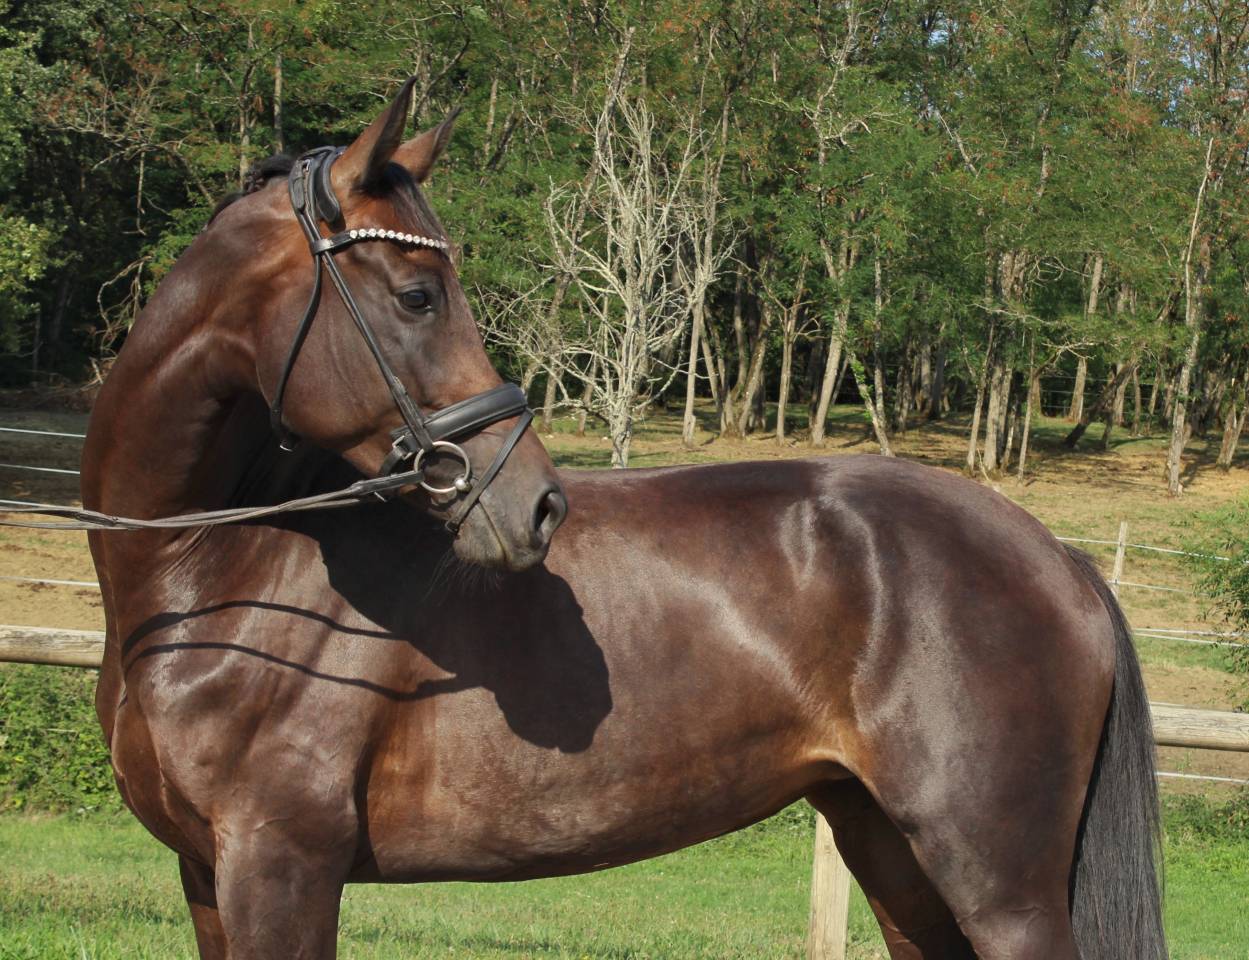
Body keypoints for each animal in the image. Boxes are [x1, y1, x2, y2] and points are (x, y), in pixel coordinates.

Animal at [81, 79, 1166, 960]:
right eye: (419, 293)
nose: (534, 503)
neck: (225, 571)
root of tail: (1055, 554)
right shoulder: (210, 874)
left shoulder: (282, 866)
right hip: (890, 852)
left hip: (997, 882)